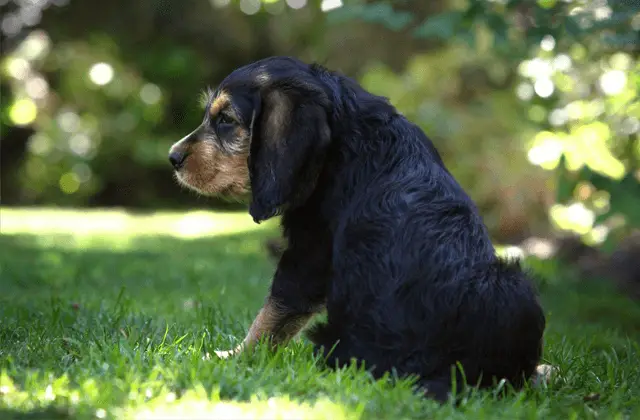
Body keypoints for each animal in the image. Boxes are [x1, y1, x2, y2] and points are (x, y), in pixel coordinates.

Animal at [169, 56, 544, 404]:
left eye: (226, 120)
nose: (172, 157)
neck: (347, 126)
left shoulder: (310, 250)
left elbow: (273, 313)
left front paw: (231, 357)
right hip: (516, 290)